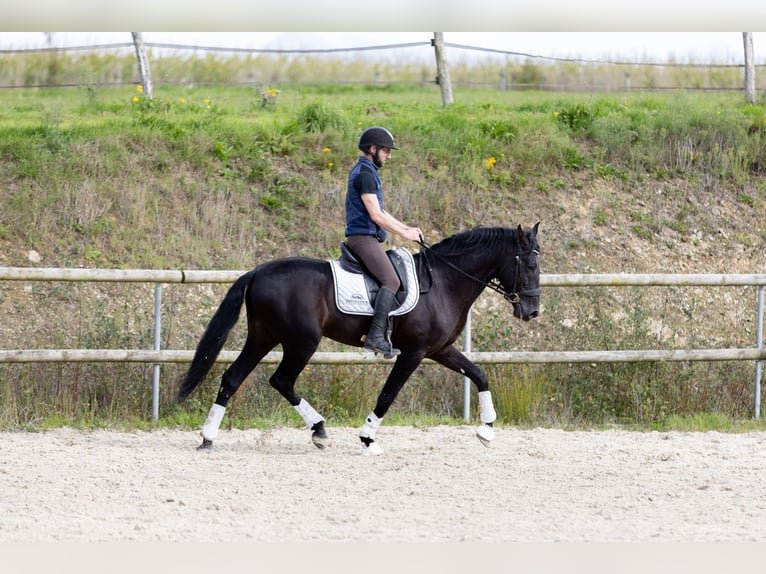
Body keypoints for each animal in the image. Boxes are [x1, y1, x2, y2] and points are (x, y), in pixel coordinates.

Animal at [176, 223, 541, 454]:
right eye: (529, 265)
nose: (532, 311)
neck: (444, 282)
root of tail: (257, 272)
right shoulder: (414, 352)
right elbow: (388, 395)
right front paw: (367, 439)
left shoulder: (440, 349)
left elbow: (479, 374)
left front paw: (486, 430)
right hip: (302, 341)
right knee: (281, 380)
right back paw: (319, 430)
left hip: (264, 336)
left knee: (234, 376)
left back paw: (208, 437)